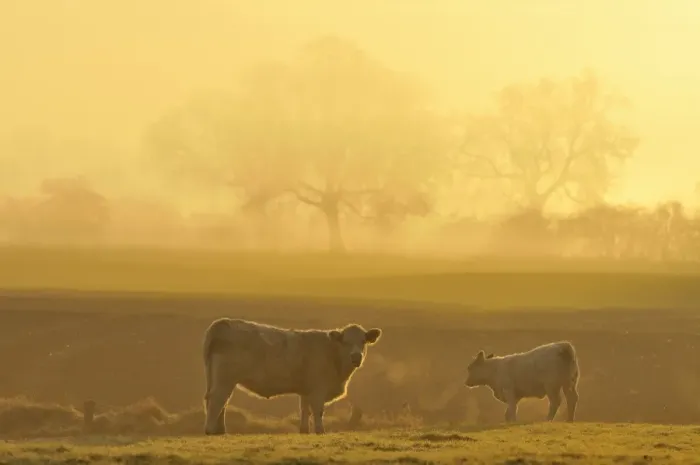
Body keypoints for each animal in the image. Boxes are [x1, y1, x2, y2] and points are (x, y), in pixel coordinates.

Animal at [202, 318, 382, 435]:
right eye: (345, 342)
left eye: (363, 341)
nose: (356, 357)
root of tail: (222, 323)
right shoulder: (318, 390)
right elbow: (317, 410)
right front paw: (320, 430)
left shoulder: (306, 390)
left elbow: (304, 409)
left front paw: (304, 430)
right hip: (225, 379)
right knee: (217, 400)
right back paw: (210, 430)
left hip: (218, 378)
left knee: (220, 402)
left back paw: (220, 430)